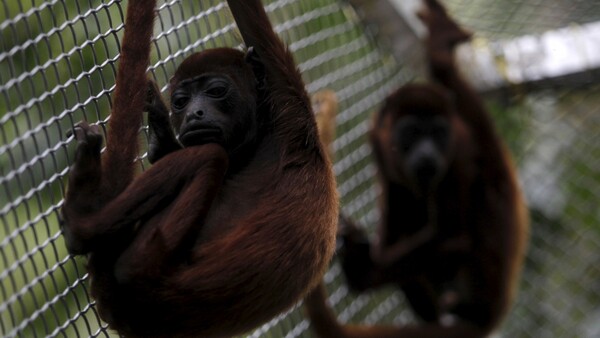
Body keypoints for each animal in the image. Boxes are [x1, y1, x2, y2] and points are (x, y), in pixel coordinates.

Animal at [63, 1, 340, 336]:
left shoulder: (288, 98)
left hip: (142, 260)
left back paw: (81, 221)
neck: (261, 136)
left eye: (216, 92)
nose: (195, 113)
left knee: (210, 156)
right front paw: (161, 135)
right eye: (181, 101)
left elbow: (252, 22)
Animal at [308, 1, 528, 336]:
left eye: (437, 133)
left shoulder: (458, 151)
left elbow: (453, 236)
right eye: (411, 132)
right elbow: (394, 221)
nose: (427, 154)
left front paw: (364, 271)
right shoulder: (377, 140)